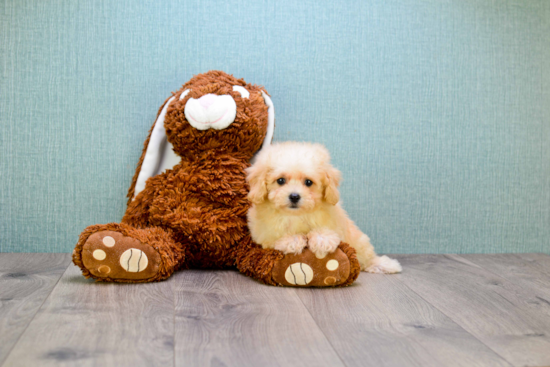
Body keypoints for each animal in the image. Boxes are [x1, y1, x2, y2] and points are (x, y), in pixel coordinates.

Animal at [248, 142, 404, 274]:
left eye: (308, 182)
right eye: (280, 180)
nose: (294, 196)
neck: (297, 215)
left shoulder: (335, 222)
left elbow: (326, 230)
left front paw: (322, 240)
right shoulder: (263, 234)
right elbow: (277, 237)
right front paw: (292, 240)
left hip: (359, 240)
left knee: (366, 257)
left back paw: (383, 264)